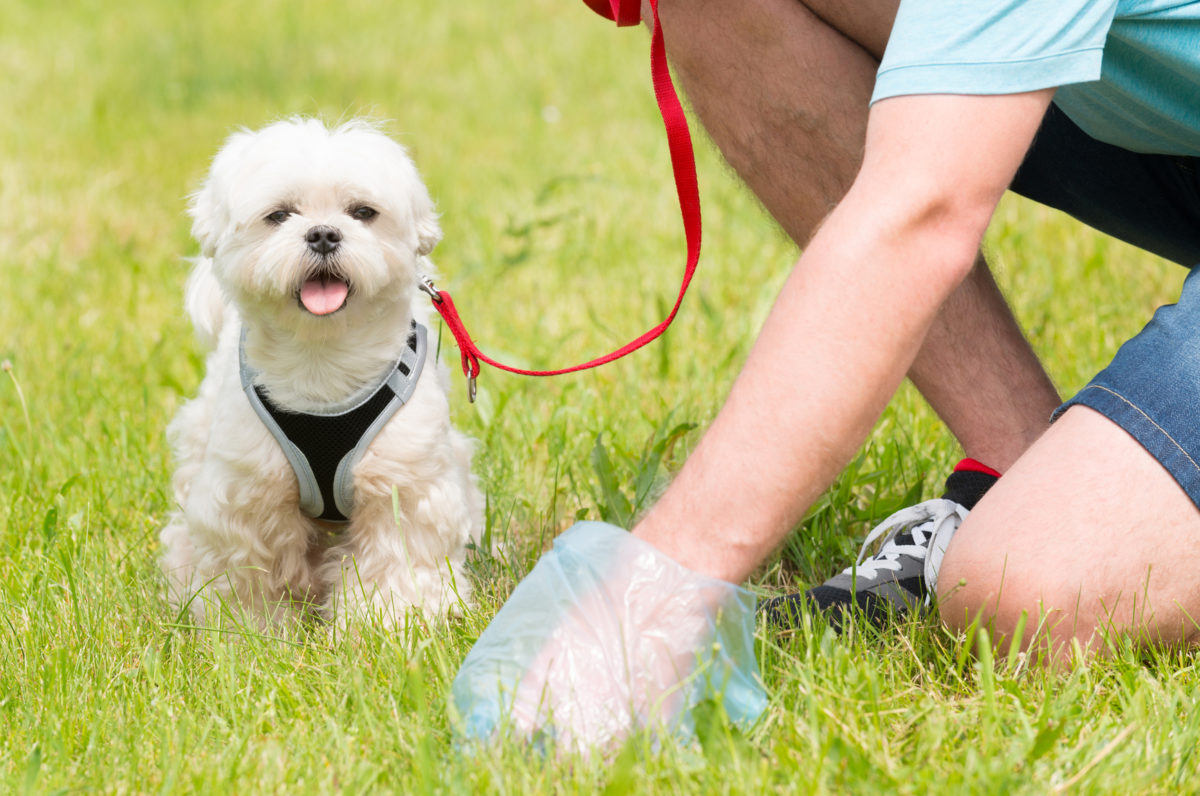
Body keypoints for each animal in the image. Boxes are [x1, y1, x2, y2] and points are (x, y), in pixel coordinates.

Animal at [159, 118, 482, 633]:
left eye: (363, 212)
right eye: (279, 215)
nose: (324, 234)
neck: (322, 362)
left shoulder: (404, 483)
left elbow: (396, 559)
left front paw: (389, 623)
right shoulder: (248, 493)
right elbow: (249, 571)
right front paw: (251, 630)